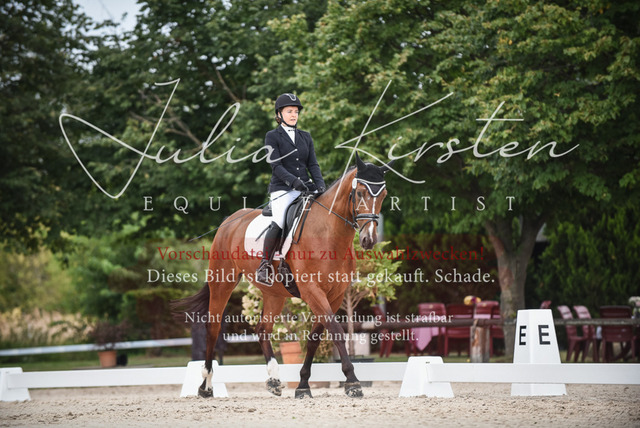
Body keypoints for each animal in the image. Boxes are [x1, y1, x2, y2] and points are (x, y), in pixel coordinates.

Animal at [171, 153, 394, 398]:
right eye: (361, 192)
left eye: (384, 194)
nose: (368, 240)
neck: (327, 233)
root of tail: (230, 220)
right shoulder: (312, 291)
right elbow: (335, 331)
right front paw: (352, 382)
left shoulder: (335, 295)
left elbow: (315, 338)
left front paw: (303, 385)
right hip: (222, 282)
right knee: (213, 328)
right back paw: (206, 386)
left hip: (274, 293)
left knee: (263, 329)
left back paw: (274, 380)